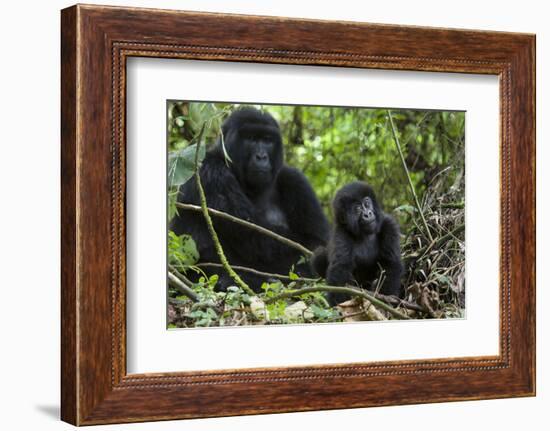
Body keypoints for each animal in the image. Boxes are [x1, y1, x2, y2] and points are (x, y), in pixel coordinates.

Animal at [170, 106, 330, 292]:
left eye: (267, 140)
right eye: (251, 139)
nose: (261, 156)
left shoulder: (296, 180)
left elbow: (316, 242)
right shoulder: (210, 171)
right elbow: (258, 238)